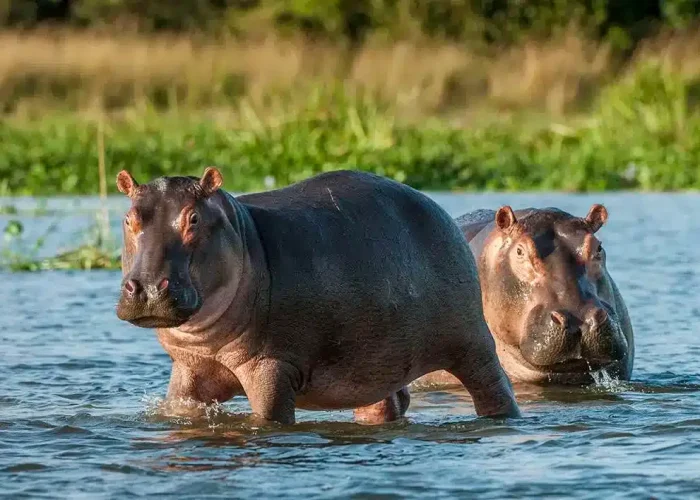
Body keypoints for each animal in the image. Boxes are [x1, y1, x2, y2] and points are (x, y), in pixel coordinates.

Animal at [115, 169, 520, 426]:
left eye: (194, 218)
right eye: (128, 219)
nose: (147, 288)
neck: (242, 234)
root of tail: (440, 211)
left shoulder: (271, 366)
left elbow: (270, 418)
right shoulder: (189, 369)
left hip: (472, 344)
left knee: (494, 388)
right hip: (375, 361)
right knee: (386, 403)